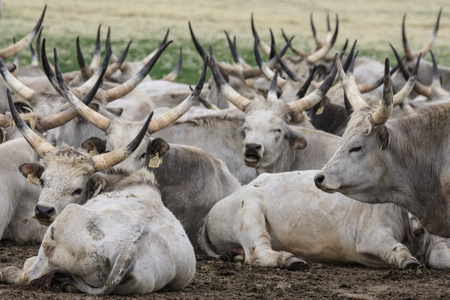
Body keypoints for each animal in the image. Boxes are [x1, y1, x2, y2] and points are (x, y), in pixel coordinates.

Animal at [201, 170, 450, 270]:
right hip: (250, 212)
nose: (421, 223)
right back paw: (289, 260)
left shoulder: (436, 245)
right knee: (256, 252)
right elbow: (397, 249)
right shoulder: (371, 235)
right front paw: (408, 261)